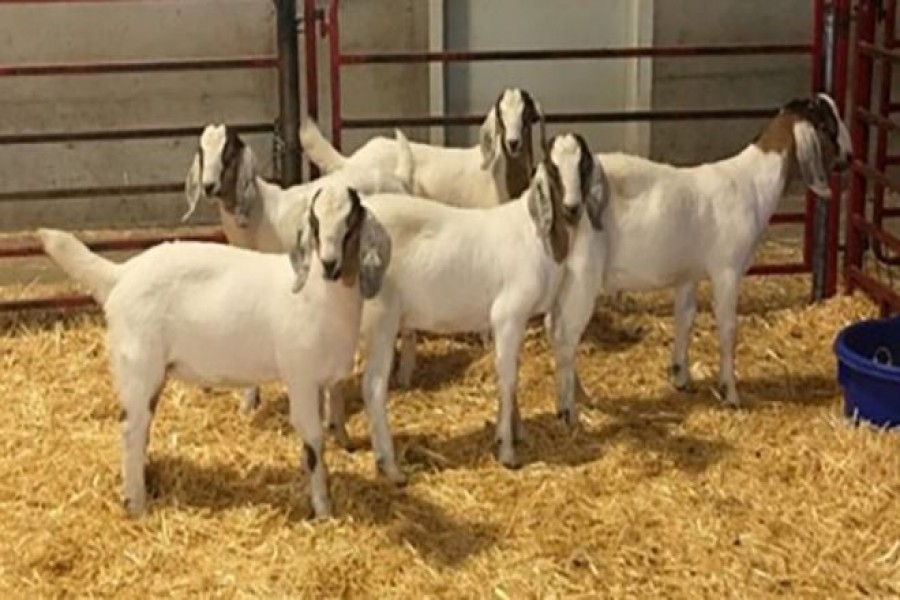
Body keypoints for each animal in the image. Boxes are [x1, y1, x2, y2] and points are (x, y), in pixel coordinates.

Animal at [37, 183, 392, 519]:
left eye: (351, 222)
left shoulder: (322, 379)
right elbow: (313, 443)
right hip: (137, 365)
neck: (319, 294)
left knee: (141, 427)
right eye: (315, 223)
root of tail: (122, 275)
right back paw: (135, 503)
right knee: (131, 428)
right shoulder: (300, 377)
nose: (330, 264)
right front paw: (322, 508)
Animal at [182, 124, 412, 418]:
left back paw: (404, 372)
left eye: (229, 152)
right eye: (201, 151)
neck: (260, 216)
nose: (209, 186)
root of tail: (398, 179)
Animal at [331, 134, 607, 483]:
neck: (532, 232)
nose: (572, 208)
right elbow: (508, 377)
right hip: (381, 319)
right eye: (554, 168)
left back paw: (341, 436)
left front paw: (517, 431)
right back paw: (390, 466)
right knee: (373, 387)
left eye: (583, 164)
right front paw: (507, 450)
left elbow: (509, 372)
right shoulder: (508, 314)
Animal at [546, 93, 852, 420]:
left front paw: (680, 376)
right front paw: (730, 392)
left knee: (555, 329)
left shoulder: (688, 275)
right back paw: (570, 406)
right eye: (827, 125)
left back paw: (578, 394)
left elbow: (685, 318)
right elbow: (728, 328)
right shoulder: (727, 271)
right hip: (582, 277)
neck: (753, 184)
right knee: (566, 335)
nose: (849, 157)